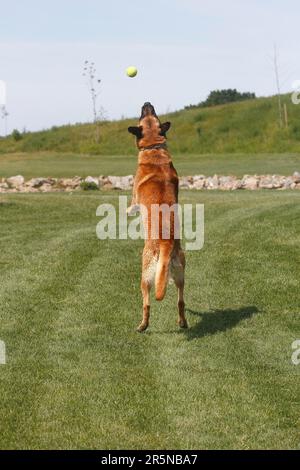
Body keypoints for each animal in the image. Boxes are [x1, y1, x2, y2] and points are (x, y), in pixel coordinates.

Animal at [127, 101, 188, 332]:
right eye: (152, 113)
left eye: (144, 114)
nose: (147, 103)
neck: (154, 147)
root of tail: (165, 244)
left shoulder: (135, 197)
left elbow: (131, 204)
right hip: (181, 271)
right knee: (181, 300)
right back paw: (183, 321)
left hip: (144, 276)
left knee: (146, 303)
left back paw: (142, 325)